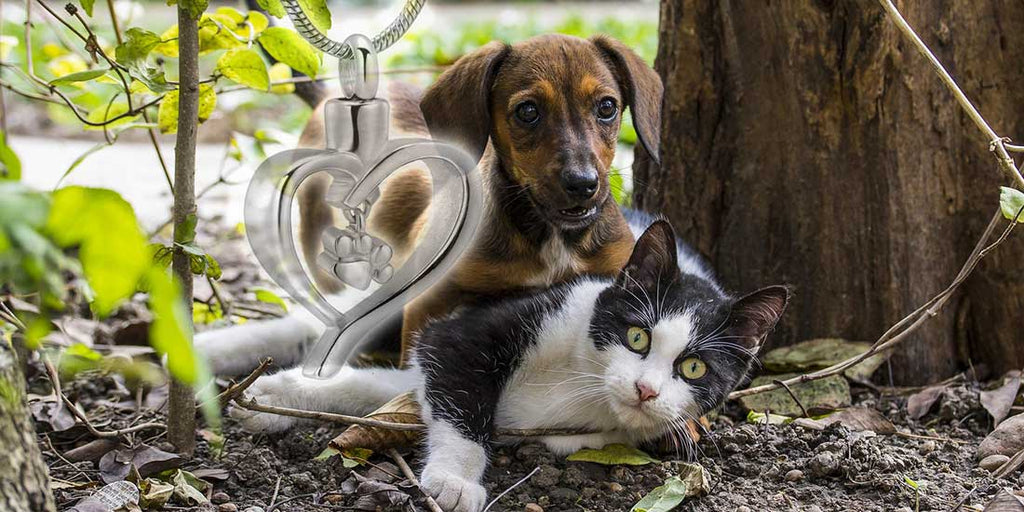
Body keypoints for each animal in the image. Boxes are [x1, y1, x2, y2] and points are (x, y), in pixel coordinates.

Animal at [228, 217, 786, 512]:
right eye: (637, 336)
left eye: (694, 369)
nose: (646, 390)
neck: (583, 381)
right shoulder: (469, 331)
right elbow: (459, 394)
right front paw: (455, 481)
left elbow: (388, 388)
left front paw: (280, 397)